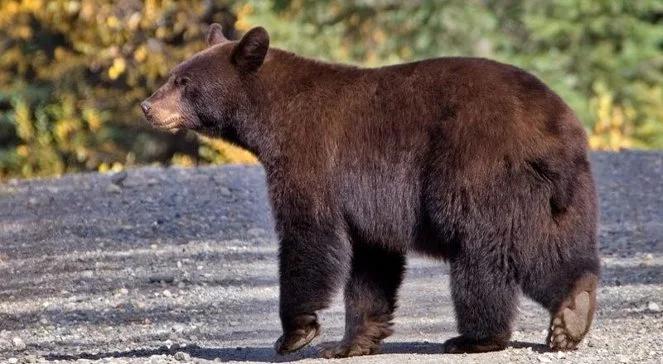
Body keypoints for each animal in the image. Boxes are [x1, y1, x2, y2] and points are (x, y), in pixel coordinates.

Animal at [141, 23, 600, 358]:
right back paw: (573, 311)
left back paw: (476, 337)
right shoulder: (369, 202)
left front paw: (295, 334)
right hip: (564, 194)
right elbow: (371, 262)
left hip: (479, 172)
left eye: (183, 82)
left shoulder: (312, 158)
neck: (269, 118)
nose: (148, 106)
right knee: (553, 246)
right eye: (172, 77)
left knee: (486, 253)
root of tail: (554, 129)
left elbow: (309, 236)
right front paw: (350, 342)